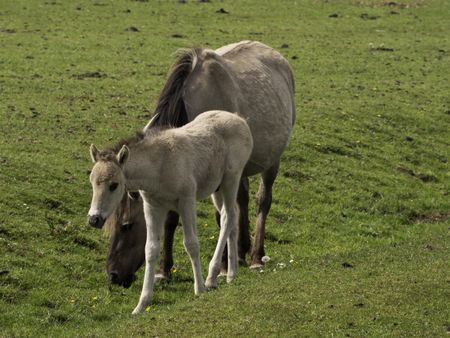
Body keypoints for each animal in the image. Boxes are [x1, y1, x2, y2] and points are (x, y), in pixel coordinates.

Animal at [88, 111, 253, 314]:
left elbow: (191, 244)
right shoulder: (152, 206)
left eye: (114, 185)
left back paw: (211, 277)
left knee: (228, 216)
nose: (94, 219)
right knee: (231, 216)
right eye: (92, 182)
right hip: (218, 188)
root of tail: (240, 120)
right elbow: (150, 249)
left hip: (232, 178)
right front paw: (142, 304)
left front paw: (199, 289)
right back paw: (231, 274)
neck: (159, 165)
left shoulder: (186, 200)